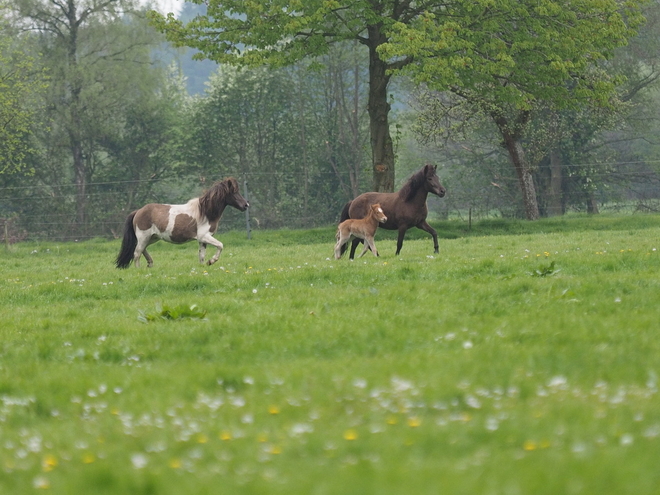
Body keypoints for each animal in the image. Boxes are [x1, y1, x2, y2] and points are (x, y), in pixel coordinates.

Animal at [114, 178, 249, 270]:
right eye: (234, 192)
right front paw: (211, 261)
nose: (246, 205)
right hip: (144, 237)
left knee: (142, 249)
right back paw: (139, 269)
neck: (205, 213)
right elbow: (220, 245)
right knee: (137, 253)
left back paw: (150, 263)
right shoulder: (204, 236)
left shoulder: (202, 240)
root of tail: (138, 211)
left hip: (152, 237)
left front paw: (203, 266)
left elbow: (201, 256)